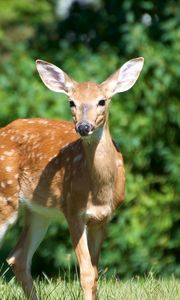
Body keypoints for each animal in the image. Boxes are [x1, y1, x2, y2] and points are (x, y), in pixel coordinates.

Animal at [0, 56, 143, 300]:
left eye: (102, 101)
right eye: (71, 102)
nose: (84, 126)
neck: (98, 191)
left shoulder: (103, 218)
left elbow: (95, 274)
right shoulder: (73, 210)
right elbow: (86, 273)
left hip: (39, 211)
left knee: (18, 257)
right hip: (5, 196)